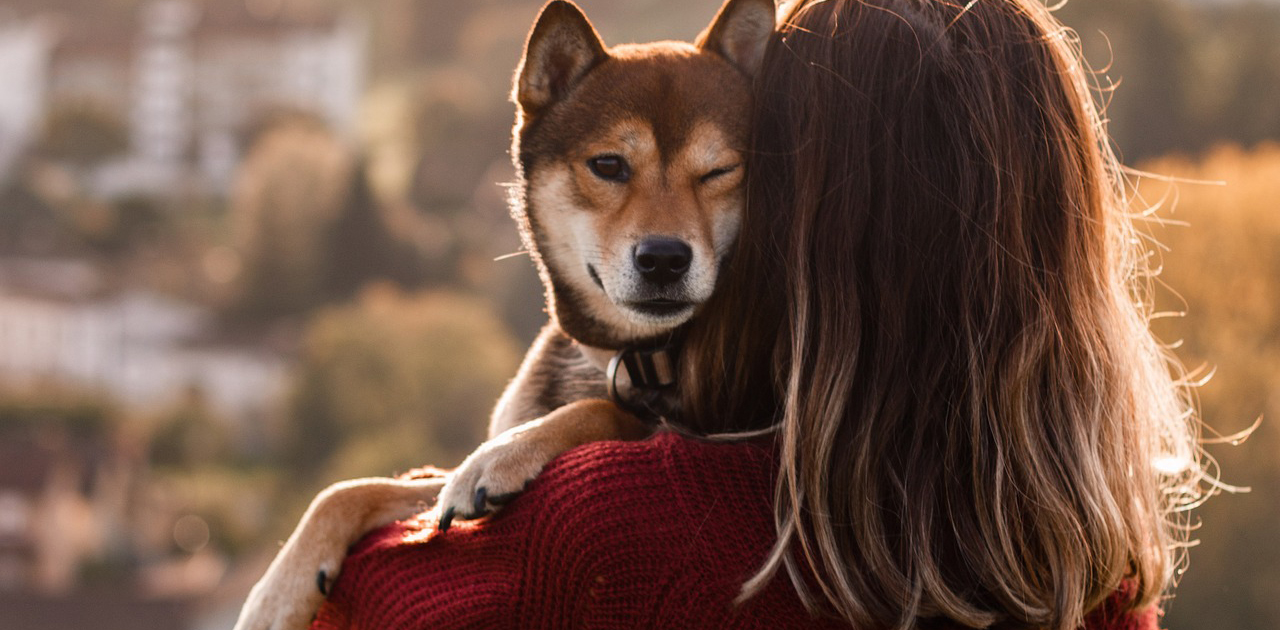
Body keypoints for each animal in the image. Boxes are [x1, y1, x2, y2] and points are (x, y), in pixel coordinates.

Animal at [232, 0, 768, 627]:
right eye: (609, 165)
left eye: (720, 172)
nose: (663, 258)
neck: (630, 357)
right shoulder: (434, 482)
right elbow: (352, 489)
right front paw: (277, 592)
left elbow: (597, 412)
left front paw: (510, 455)